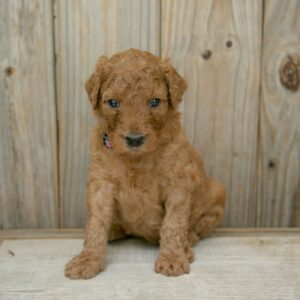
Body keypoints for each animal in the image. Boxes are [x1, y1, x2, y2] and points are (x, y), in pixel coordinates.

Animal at [65, 49, 225, 278]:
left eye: (155, 102)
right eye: (113, 103)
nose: (134, 139)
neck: (135, 159)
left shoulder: (178, 184)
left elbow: (173, 224)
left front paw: (172, 258)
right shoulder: (101, 184)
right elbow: (96, 223)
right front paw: (88, 259)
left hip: (217, 196)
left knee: (199, 226)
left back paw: (187, 245)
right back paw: (114, 230)